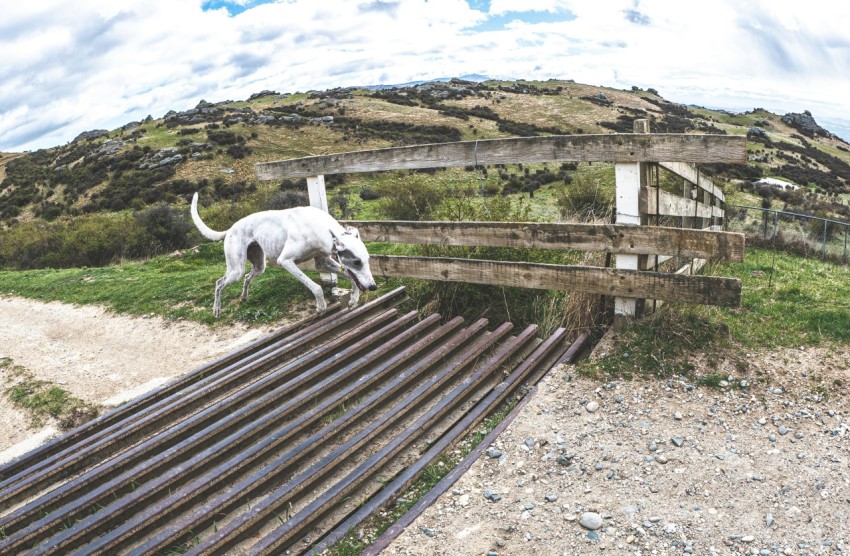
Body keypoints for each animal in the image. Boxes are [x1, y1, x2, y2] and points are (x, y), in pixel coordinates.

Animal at [194, 193, 380, 318]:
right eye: (356, 262)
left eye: (367, 260)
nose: (373, 287)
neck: (316, 227)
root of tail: (231, 228)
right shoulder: (285, 261)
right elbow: (317, 287)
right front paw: (321, 307)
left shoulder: (323, 262)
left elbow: (353, 280)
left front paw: (353, 300)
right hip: (235, 270)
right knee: (219, 283)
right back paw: (216, 309)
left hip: (259, 265)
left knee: (247, 277)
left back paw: (244, 297)